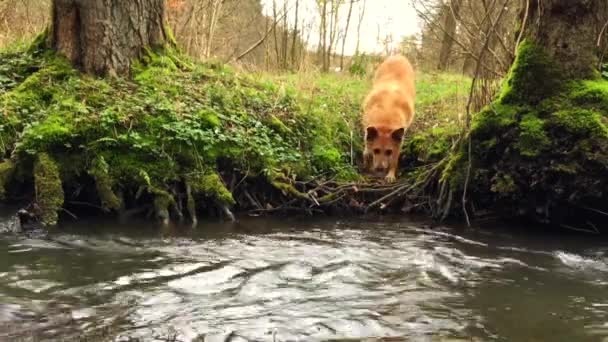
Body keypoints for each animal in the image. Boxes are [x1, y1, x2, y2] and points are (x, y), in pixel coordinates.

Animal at [364, 54, 416, 182]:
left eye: (389, 152)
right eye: (376, 150)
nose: (379, 169)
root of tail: (399, 55)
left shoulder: (398, 142)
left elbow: (394, 160)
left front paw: (391, 174)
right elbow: (367, 144)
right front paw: (367, 156)